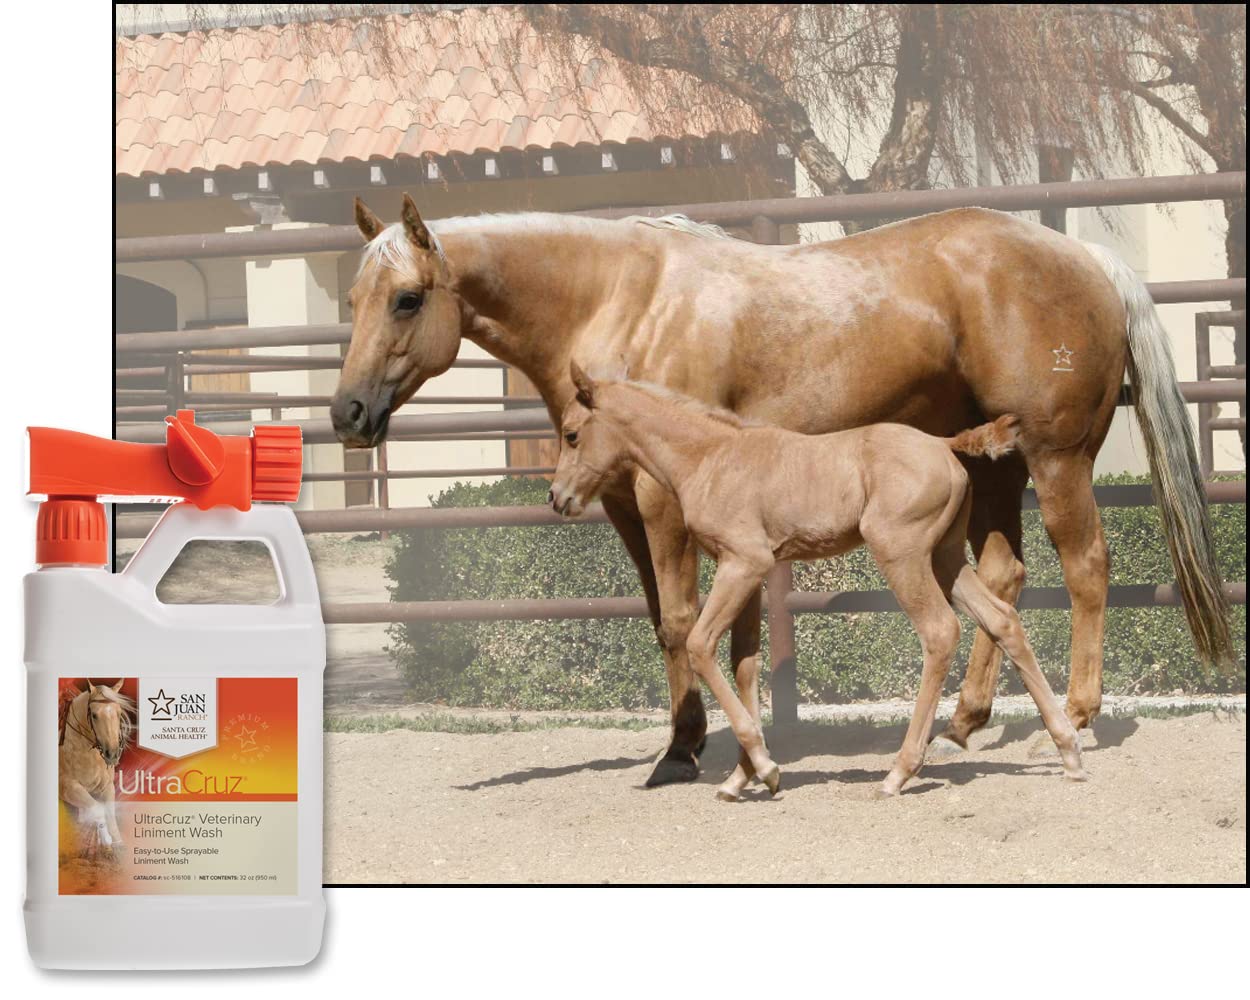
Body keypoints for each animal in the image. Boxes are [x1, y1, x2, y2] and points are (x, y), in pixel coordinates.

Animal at [59, 680, 134, 858]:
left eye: (119, 713)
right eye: (94, 715)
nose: (112, 754)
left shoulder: (106, 787)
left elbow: (110, 812)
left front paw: (117, 845)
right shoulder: (69, 788)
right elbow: (97, 809)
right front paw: (106, 842)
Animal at [549, 364, 1086, 798]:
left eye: (571, 434)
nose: (557, 497)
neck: (710, 457)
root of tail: (942, 443)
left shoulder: (743, 563)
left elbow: (701, 646)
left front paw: (765, 769)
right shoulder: (747, 571)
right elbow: (745, 664)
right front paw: (742, 777)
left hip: (903, 554)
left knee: (939, 632)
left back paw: (900, 771)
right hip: (945, 557)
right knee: (1003, 619)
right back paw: (1068, 751)